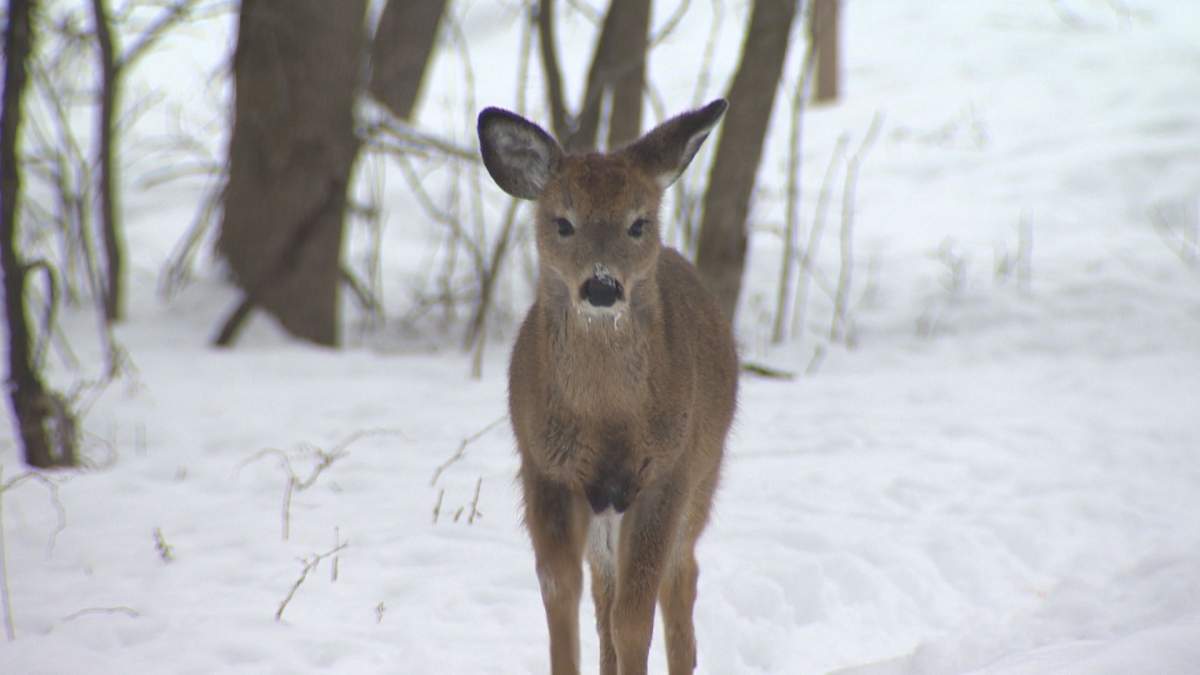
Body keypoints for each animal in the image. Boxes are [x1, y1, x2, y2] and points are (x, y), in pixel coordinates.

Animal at [477, 98, 738, 675]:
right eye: (563, 222)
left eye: (637, 223)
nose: (601, 286)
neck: (608, 419)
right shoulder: (547, 470)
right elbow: (563, 604)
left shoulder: (667, 472)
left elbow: (633, 619)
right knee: (605, 593)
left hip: (704, 473)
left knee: (680, 577)